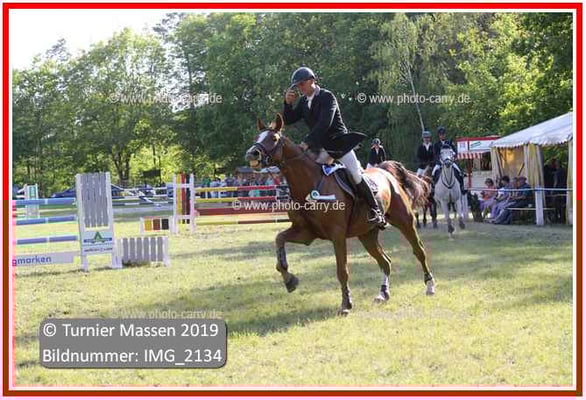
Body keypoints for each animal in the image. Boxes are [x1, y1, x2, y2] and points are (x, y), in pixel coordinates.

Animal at [245, 114, 435, 315]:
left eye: (273, 138)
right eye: (256, 137)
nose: (252, 154)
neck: (308, 183)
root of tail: (385, 170)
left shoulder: (337, 235)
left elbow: (342, 270)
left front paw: (346, 304)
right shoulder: (306, 233)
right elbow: (279, 240)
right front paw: (290, 280)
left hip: (405, 221)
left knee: (419, 251)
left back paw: (430, 285)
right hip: (367, 234)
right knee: (385, 262)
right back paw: (383, 294)